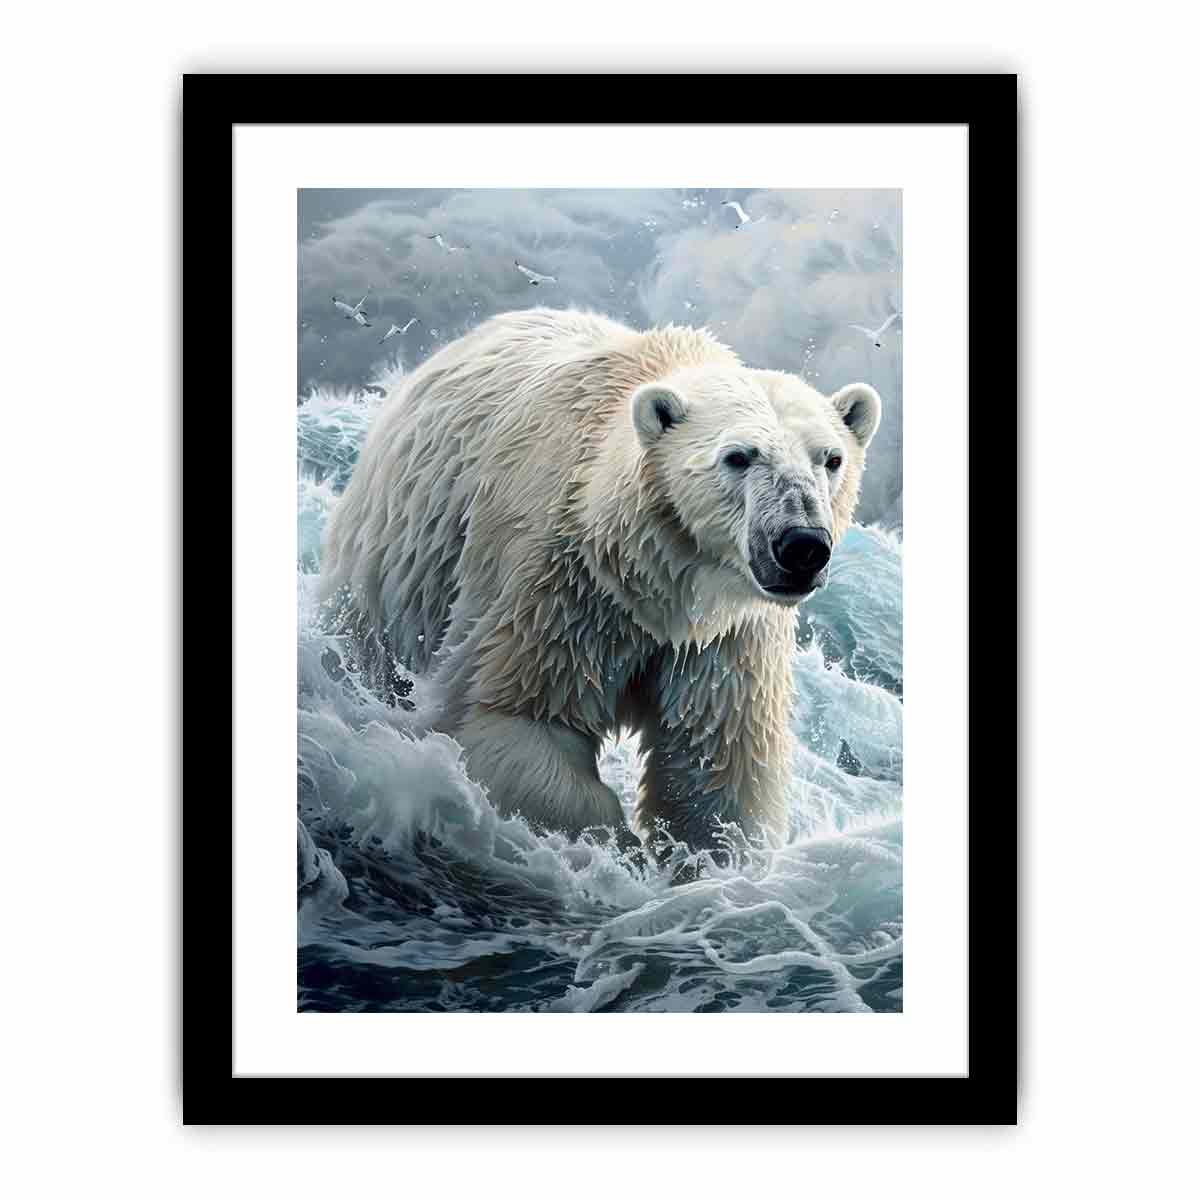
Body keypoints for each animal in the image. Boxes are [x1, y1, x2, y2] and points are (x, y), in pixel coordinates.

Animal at [319, 307, 881, 853]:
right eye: (738, 456)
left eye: (831, 459)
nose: (802, 545)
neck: (657, 580)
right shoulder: (561, 587)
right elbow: (515, 718)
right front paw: (618, 849)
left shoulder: (727, 636)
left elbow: (718, 771)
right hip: (401, 556)